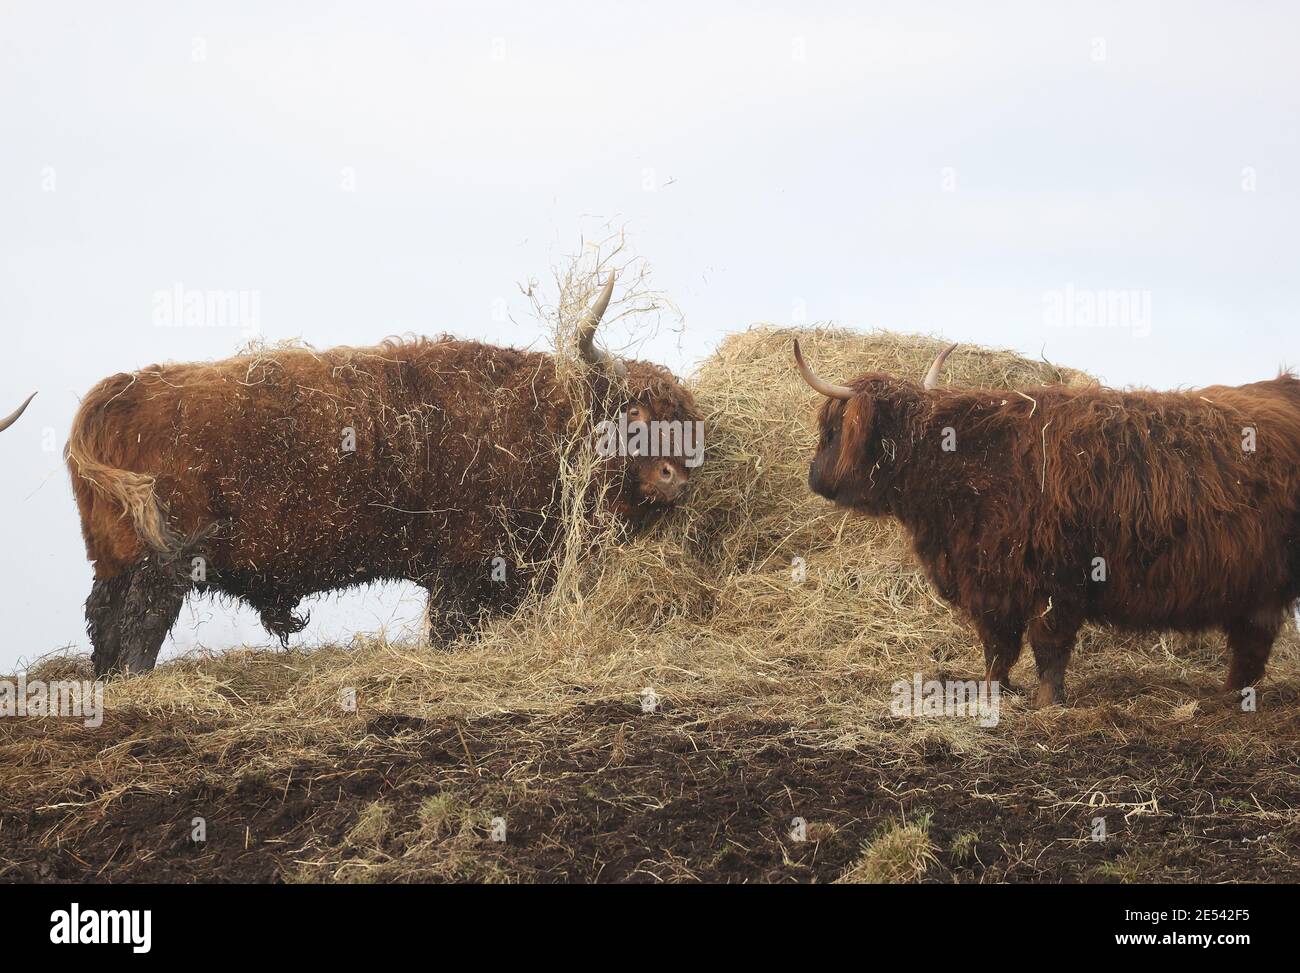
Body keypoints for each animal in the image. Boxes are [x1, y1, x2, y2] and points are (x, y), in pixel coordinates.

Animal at [68, 271, 702, 671]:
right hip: (163, 563)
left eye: (685, 418)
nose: (677, 478)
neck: (539, 420)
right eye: (634, 411)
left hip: (113, 559)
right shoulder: (465, 569)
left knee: (104, 624)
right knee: (138, 629)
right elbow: (449, 633)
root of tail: (118, 392)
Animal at [790, 340, 1300, 707]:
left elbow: (1046, 645)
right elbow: (998, 646)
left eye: (829, 431)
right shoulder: (991, 582)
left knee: (1252, 643)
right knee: (1252, 643)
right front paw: (990, 689)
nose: (814, 476)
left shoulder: (1052, 580)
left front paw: (1045, 703)